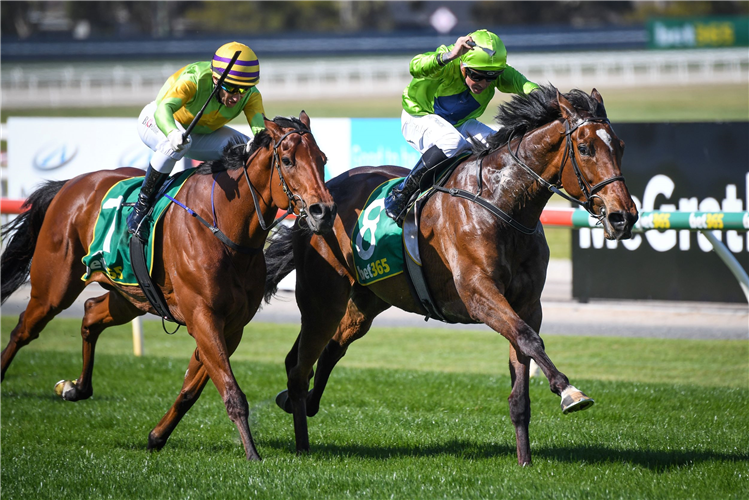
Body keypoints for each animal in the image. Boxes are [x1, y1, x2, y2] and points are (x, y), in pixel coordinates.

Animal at [0, 112, 334, 460]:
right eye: (288, 160)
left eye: (322, 159)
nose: (324, 211)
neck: (225, 228)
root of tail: (70, 184)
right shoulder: (203, 317)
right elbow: (231, 391)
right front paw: (252, 454)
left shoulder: (232, 326)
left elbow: (191, 389)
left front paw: (157, 436)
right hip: (53, 288)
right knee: (24, 329)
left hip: (130, 296)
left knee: (91, 313)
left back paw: (76, 388)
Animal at [262, 87, 636, 464]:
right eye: (586, 148)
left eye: (619, 145)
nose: (624, 216)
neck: (502, 204)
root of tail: (313, 201)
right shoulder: (479, 294)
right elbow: (529, 339)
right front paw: (569, 390)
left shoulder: (528, 304)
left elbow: (522, 368)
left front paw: (525, 459)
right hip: (322, 299)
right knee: (301, 361)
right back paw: (300, 428)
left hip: (367, 300)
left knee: (330, 348)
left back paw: (298, 402)